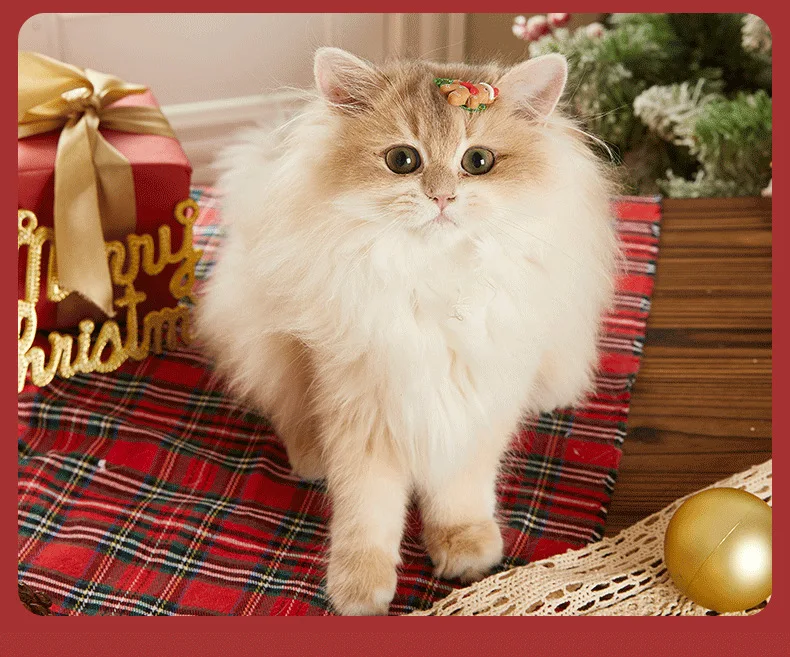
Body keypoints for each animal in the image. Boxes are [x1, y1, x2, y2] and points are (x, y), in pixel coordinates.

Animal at [197, 47, 619, 615]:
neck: (433, 277)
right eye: (403, 161)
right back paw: (312, 459)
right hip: (265, 346)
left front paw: (464, 549)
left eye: (477, 161)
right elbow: (367, 510)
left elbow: (459, 492)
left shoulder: (480, 401)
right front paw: (359, 586)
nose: (442, 198)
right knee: (287, 414)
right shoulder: (360, 406)